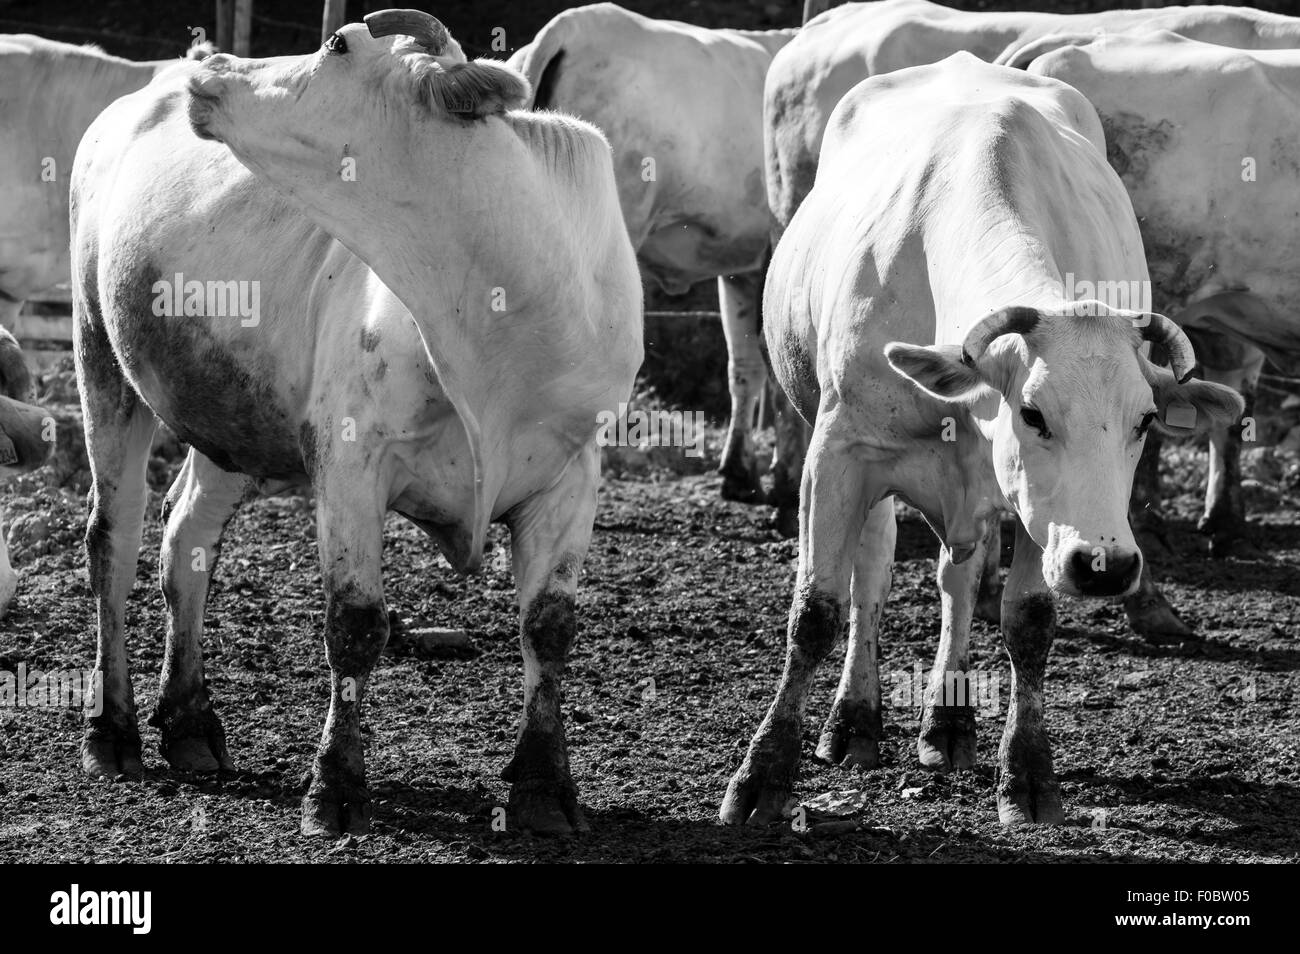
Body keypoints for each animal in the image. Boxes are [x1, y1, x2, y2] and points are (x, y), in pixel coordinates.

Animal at [69, 9, 639, 837]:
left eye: (338, 45)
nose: (214, 64)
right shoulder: (349, 462)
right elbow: (356, 624)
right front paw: (334, 785)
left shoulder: (573, 473)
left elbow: (550, 626)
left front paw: (542, 787)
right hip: (100, 357)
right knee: (112, 542)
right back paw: (111, 731)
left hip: (230, 419)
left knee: (187, 538)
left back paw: (189, 722)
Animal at [722, 54, 1237, 831]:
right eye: (1033, 413)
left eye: (1145, 422)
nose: (1107, 566)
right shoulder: (837, 455)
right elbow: (816, 610)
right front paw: (761, 775)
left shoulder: (1036, 512)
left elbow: (1026, 619)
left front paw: (1026, 774)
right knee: (872, 573)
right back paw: (853, 721)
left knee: (958, 583)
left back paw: (947, 724)